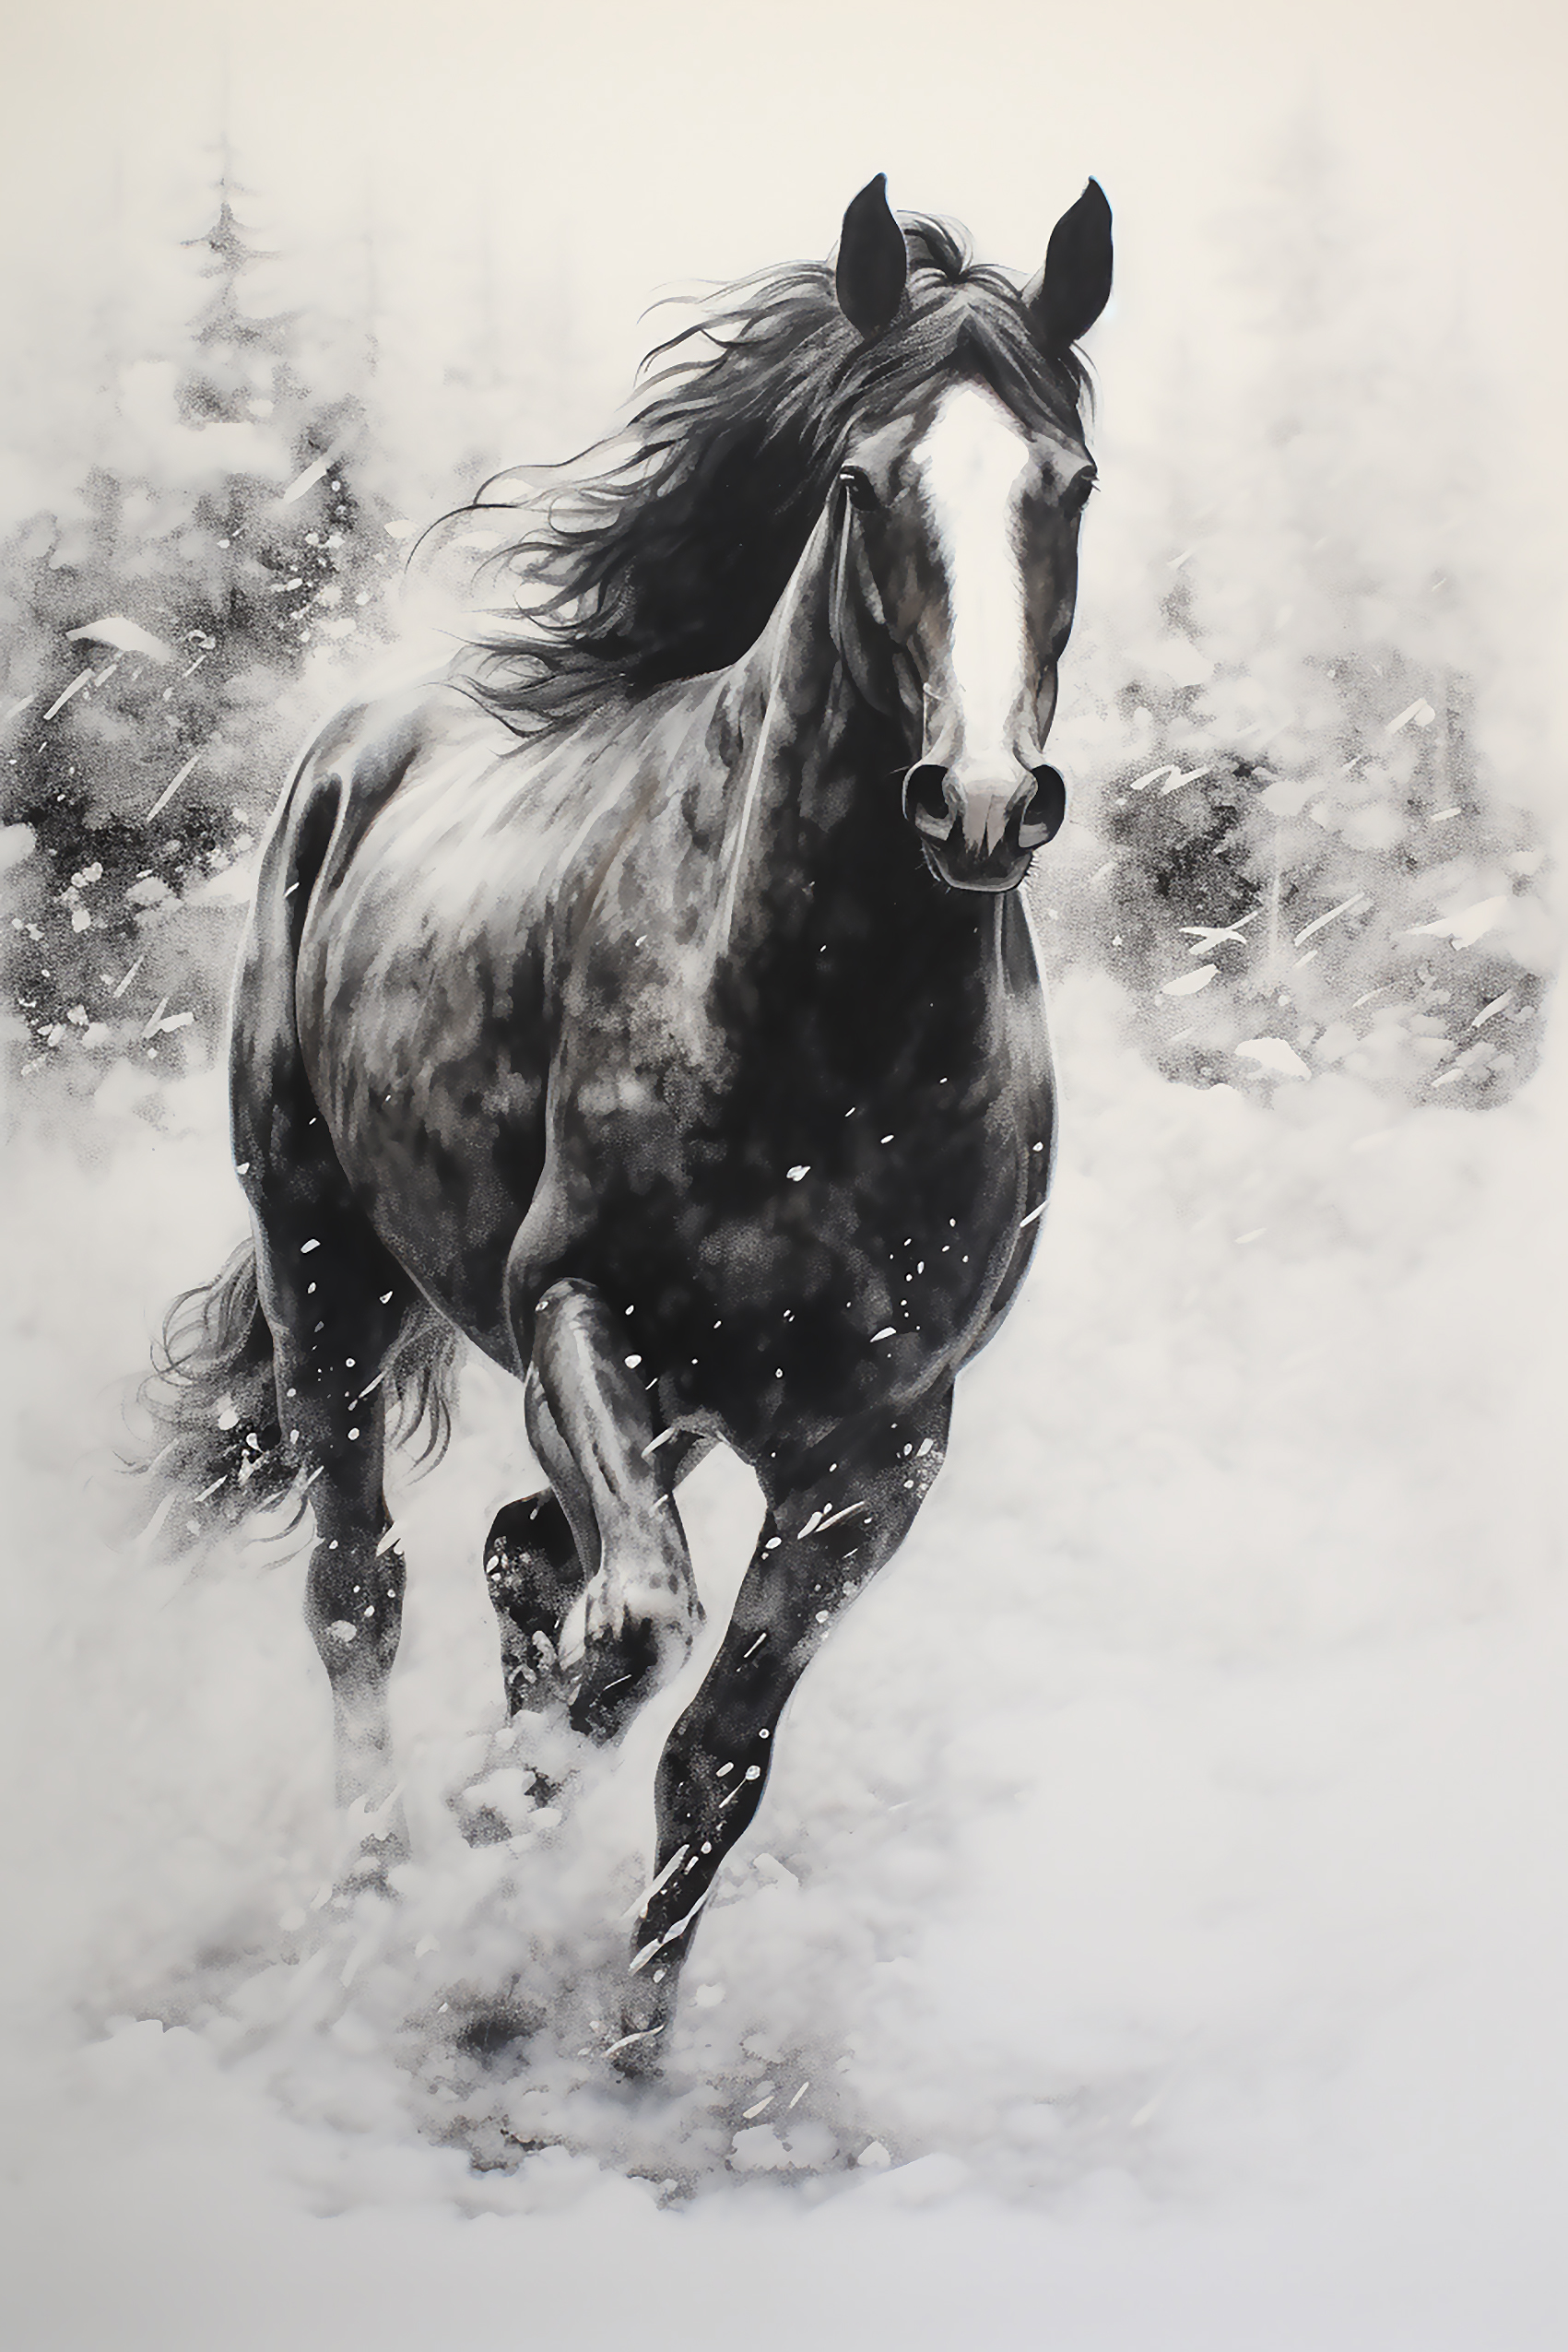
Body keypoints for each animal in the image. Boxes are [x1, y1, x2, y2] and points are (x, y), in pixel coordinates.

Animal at [143, 173, 1112, 2067]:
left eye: (1072, 480)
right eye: (859, 481)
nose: (977, 804)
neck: (826, 1033)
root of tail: (359, 747)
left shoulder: (876, 1446)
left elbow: (713, 1755)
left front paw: (634, 2061)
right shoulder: (581, 1314)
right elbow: (640, 1629)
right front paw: (486, 1838)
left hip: (686, 1413)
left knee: (520, 1556)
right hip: (325, 1263)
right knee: (360, 1586)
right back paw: (375, 1896)